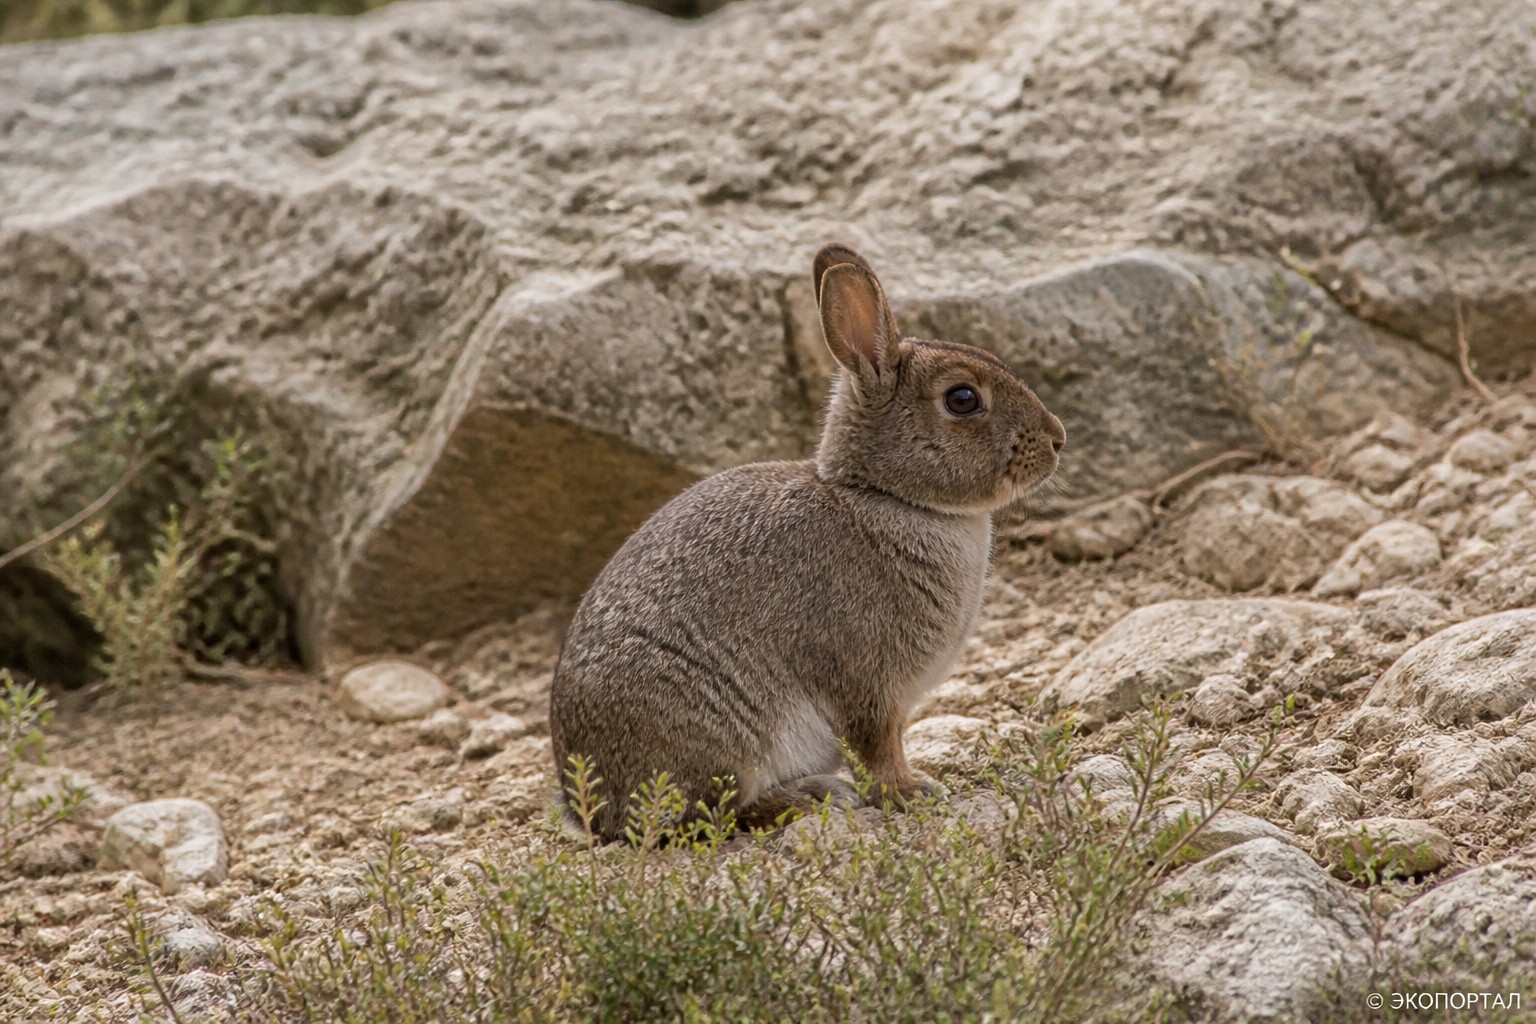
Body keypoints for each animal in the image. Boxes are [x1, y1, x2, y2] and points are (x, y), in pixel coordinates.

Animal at [549, 243, 1065, 840]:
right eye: (962, 399)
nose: (1058, 438)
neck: (885, 497)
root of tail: (591, 810)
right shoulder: (867, 683)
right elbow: (877, 748)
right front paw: (913, 791)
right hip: (719, 741)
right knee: (709, 815)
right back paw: (812, 797)